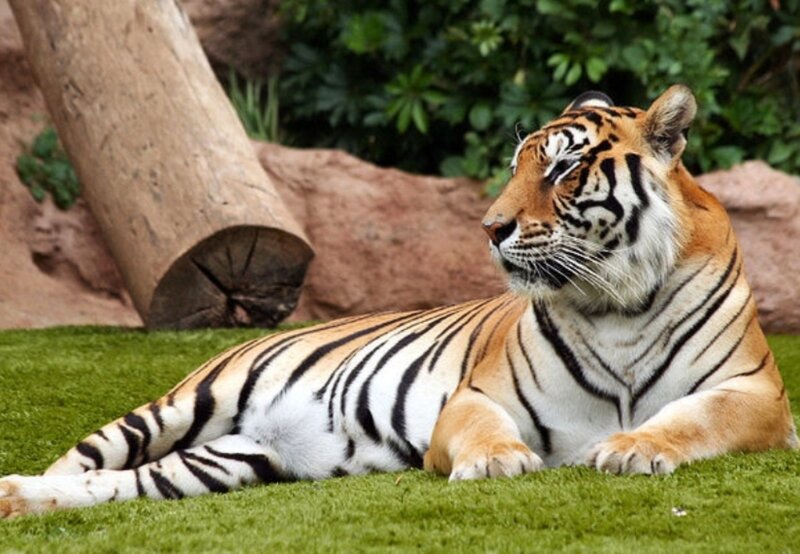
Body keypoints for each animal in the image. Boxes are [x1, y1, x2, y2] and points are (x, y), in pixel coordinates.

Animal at [1, 85, 796, 518]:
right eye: (516, 167)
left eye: (563, 171)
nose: (490, 228)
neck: (616, 301)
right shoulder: (475, 396)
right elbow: (483, 430)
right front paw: (499, 463)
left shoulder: (757, 395)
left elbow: (693, 418)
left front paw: (633, 448)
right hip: (183, 405)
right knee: (85, 460)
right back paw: (18, 491)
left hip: (225, 460)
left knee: (116, 485)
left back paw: (23, 501)